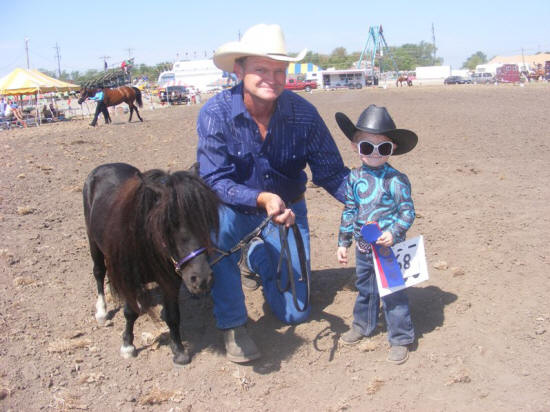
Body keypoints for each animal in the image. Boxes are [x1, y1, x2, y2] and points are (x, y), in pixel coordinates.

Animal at [83, 162, 219, 365]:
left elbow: (173, 316)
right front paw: (128, 345)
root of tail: (104, 167)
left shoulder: (170, 280)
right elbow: (130, 312)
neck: (146, 244)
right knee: (99, 272)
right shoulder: (129, 278)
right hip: (93, 241)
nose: (202, 279)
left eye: (205, 220)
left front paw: (179, 350)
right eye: (167, 224)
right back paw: (101, 311)